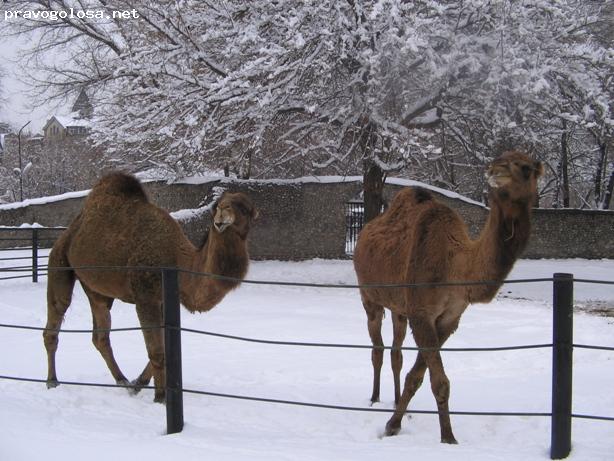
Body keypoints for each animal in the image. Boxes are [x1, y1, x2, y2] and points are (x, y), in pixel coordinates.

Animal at [44, 171, 258, 400]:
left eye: (244, 208)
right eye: (218, 205)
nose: (223, 214)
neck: (178, 261)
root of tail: (70, 229)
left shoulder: (162, 299)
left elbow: (165, 347)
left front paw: (139, 384)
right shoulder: (145, 297)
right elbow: (156, 351)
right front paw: (161, 398)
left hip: (97, 289)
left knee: (100, 334)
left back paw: (123, 381)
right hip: (59, 261)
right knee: (56, 317)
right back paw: (52, 381)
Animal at [354, 151, 548, 442]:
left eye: (526, 168)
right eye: (500, 160)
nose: (496, 170)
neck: (455, 265)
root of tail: (364, 232)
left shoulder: (449, 318)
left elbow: (418, 375)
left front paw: (397, 422)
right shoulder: (422, 313)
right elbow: (439, 380)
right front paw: (447, 437)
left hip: (400, 306)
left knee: (396, 351)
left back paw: (394, 398)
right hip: (369, 295)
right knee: (377, 347)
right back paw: (375, 398)